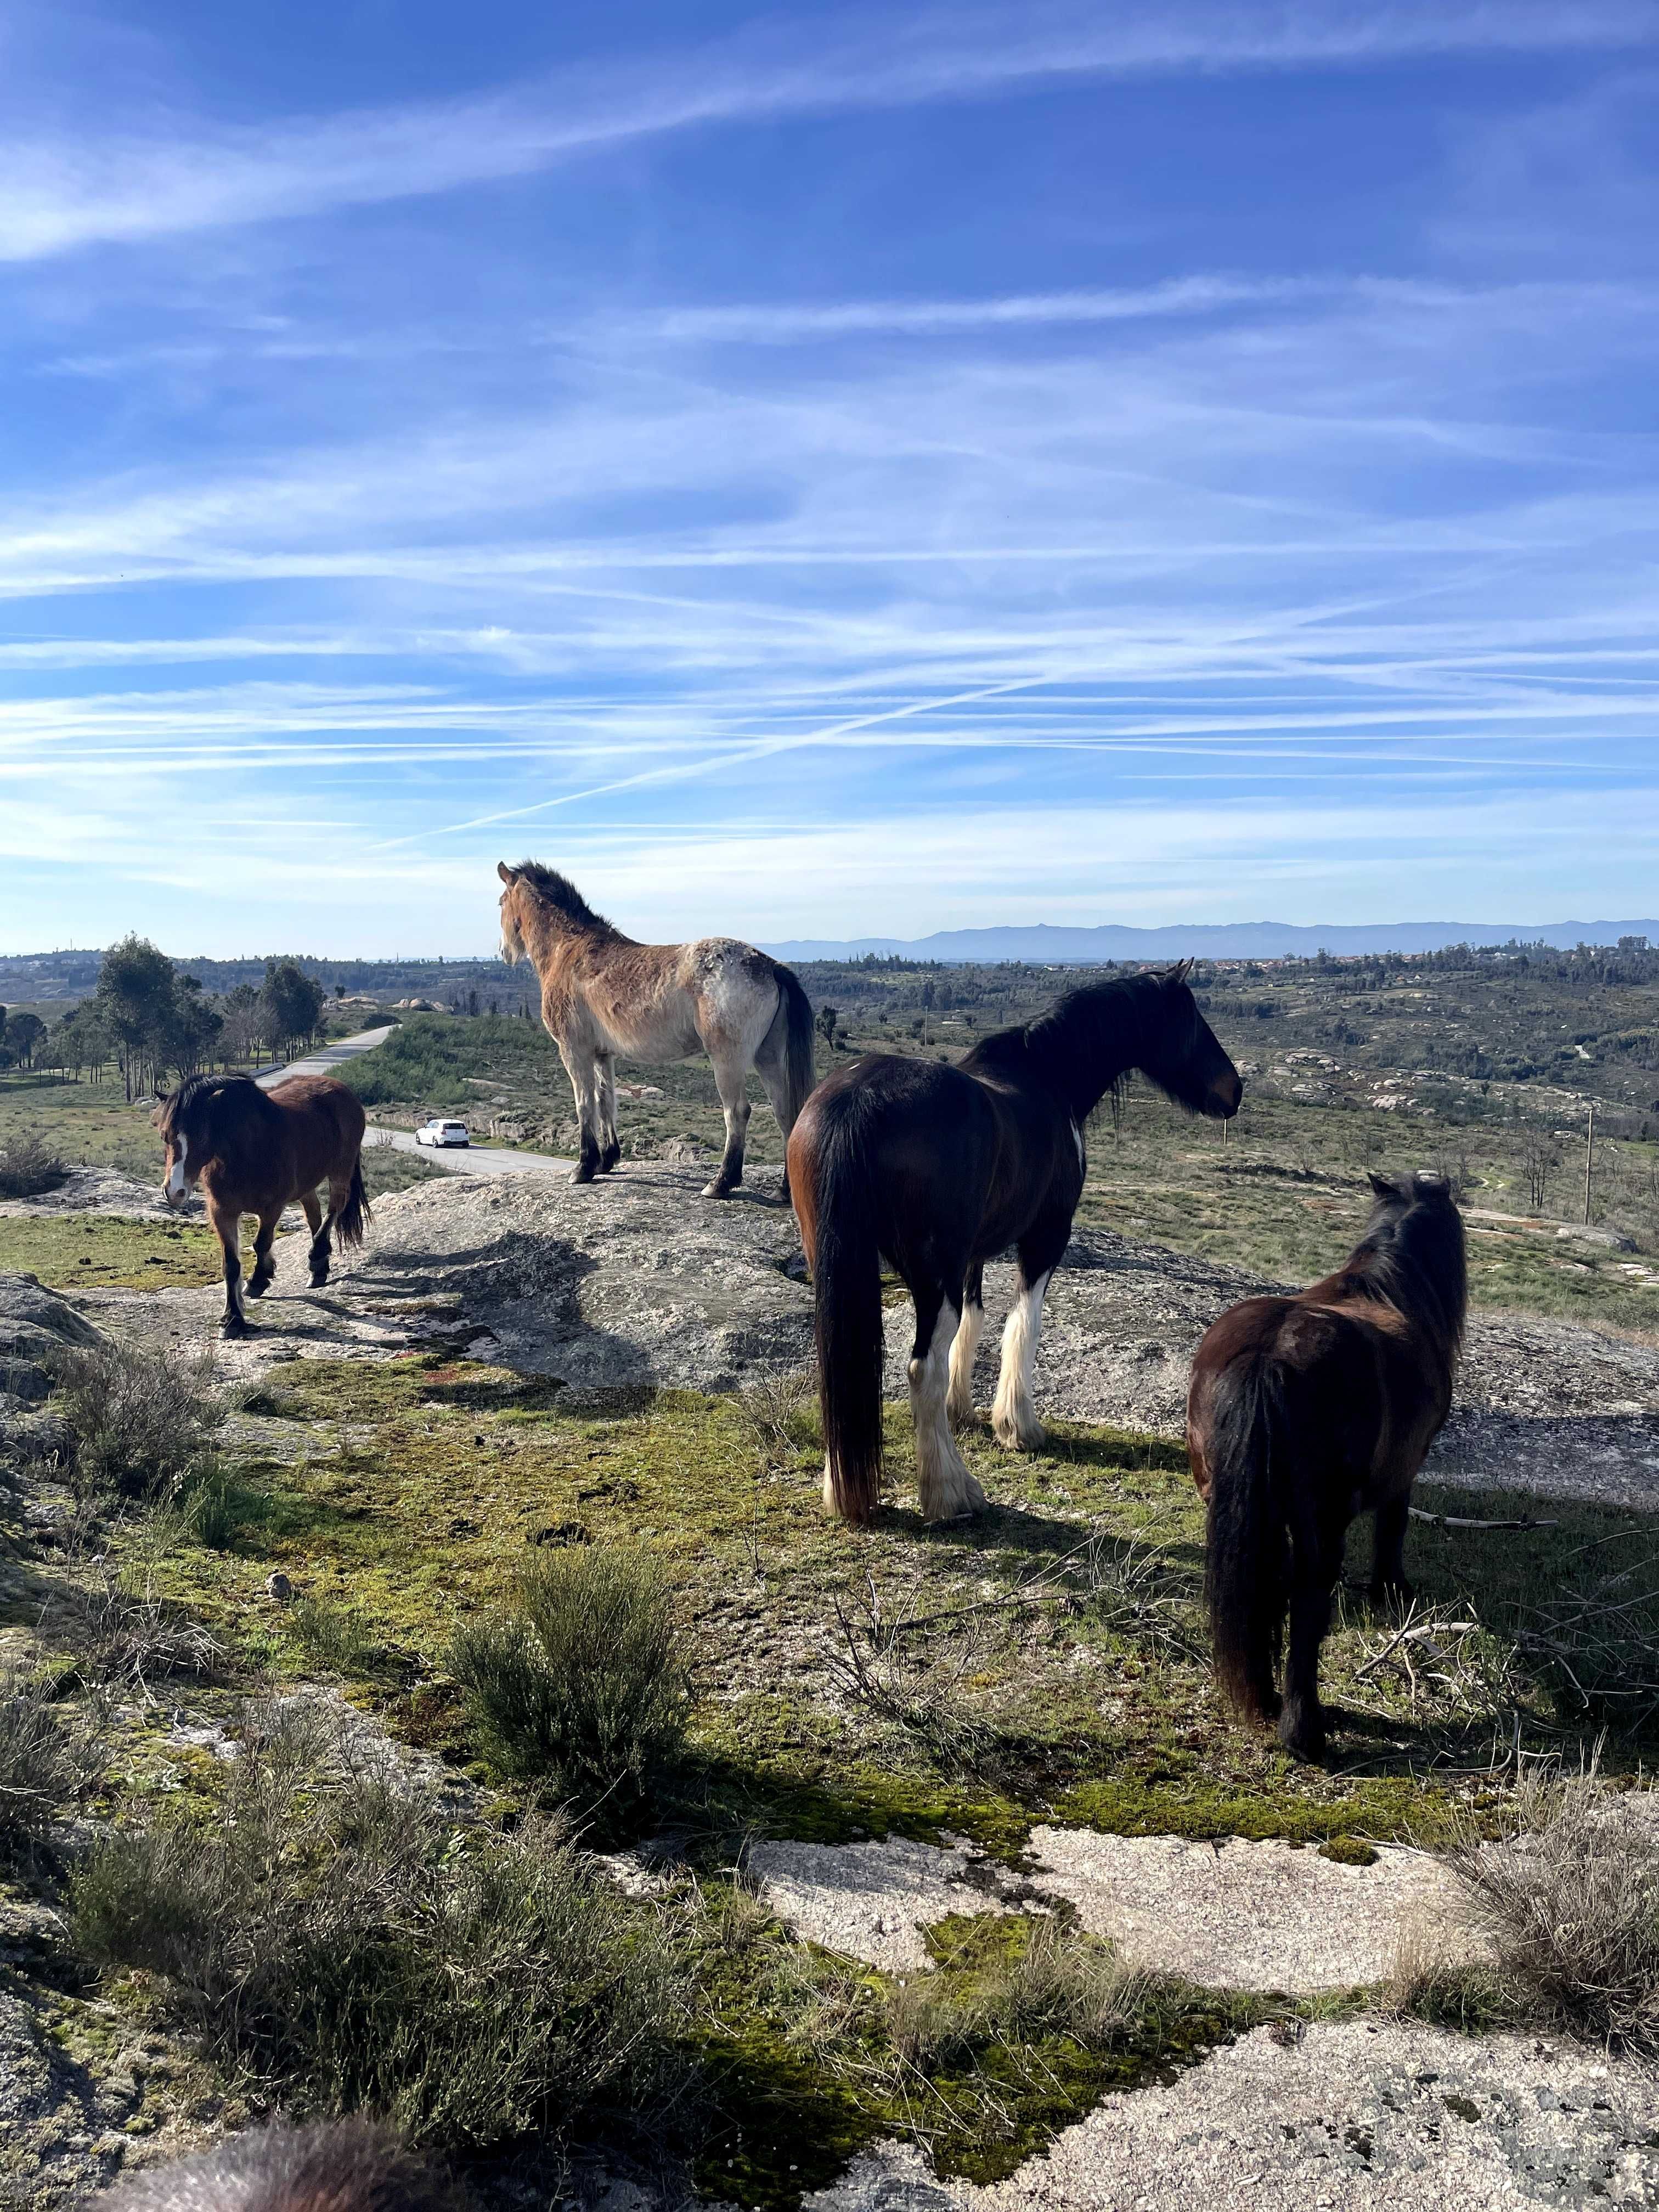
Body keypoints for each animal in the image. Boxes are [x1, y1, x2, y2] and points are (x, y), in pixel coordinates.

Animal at [155, 1066, 369, 1336]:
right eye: (165, 1136)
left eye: (201, 1137)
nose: (174, 1192)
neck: (248, 1153)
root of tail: (339, 1086)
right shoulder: (222, 1212)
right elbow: (231, 1264)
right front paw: (232, 1318)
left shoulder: (272, 1209)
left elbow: (261, 1244)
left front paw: (258, 1281)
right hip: (306, 1184)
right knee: (313, 1214)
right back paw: (319, 1268)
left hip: (340, 1171)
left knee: (335, 1208)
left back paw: (317, 1255)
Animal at [500, 854, 827, 1194]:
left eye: (500, 902)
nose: (504, 952)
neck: (568, 951)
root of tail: (771, 965)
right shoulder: (602, 1054)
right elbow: (606, 1100)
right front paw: (606, 1160)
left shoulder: (574, 1049)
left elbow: (584, 1104)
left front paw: (584, 1167)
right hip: (768, 1056)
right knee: (785, 1111)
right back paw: (784, 1188)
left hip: (728, 1058)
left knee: (737, 1111)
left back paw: (721, 1183)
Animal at [792, 969, 1248, 1522]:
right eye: (1191, 1018)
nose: (1234, 1090)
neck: (1047, 1078)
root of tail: (857, 1102)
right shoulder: (1045, 1238)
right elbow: (1023, 1327)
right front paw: (1017, 1426)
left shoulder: (974, 1255)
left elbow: (973, 1324)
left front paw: (963, 1411)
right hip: (933, 1276)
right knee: (922, 1369)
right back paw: (951, 1491)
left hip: (837, 1265)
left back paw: (843, 1491)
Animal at [1186, 1177, 1477, 1760]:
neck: (1388, 1290)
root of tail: (1267, 1356)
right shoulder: (1406, 1471)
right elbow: (1393, 1529)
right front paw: (1392, 1590)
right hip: (1321, 1523)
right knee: (1307, 1603)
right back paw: (1305, 1730)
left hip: (1237, 1504)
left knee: (1267, 1588)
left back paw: (1268, 1698)